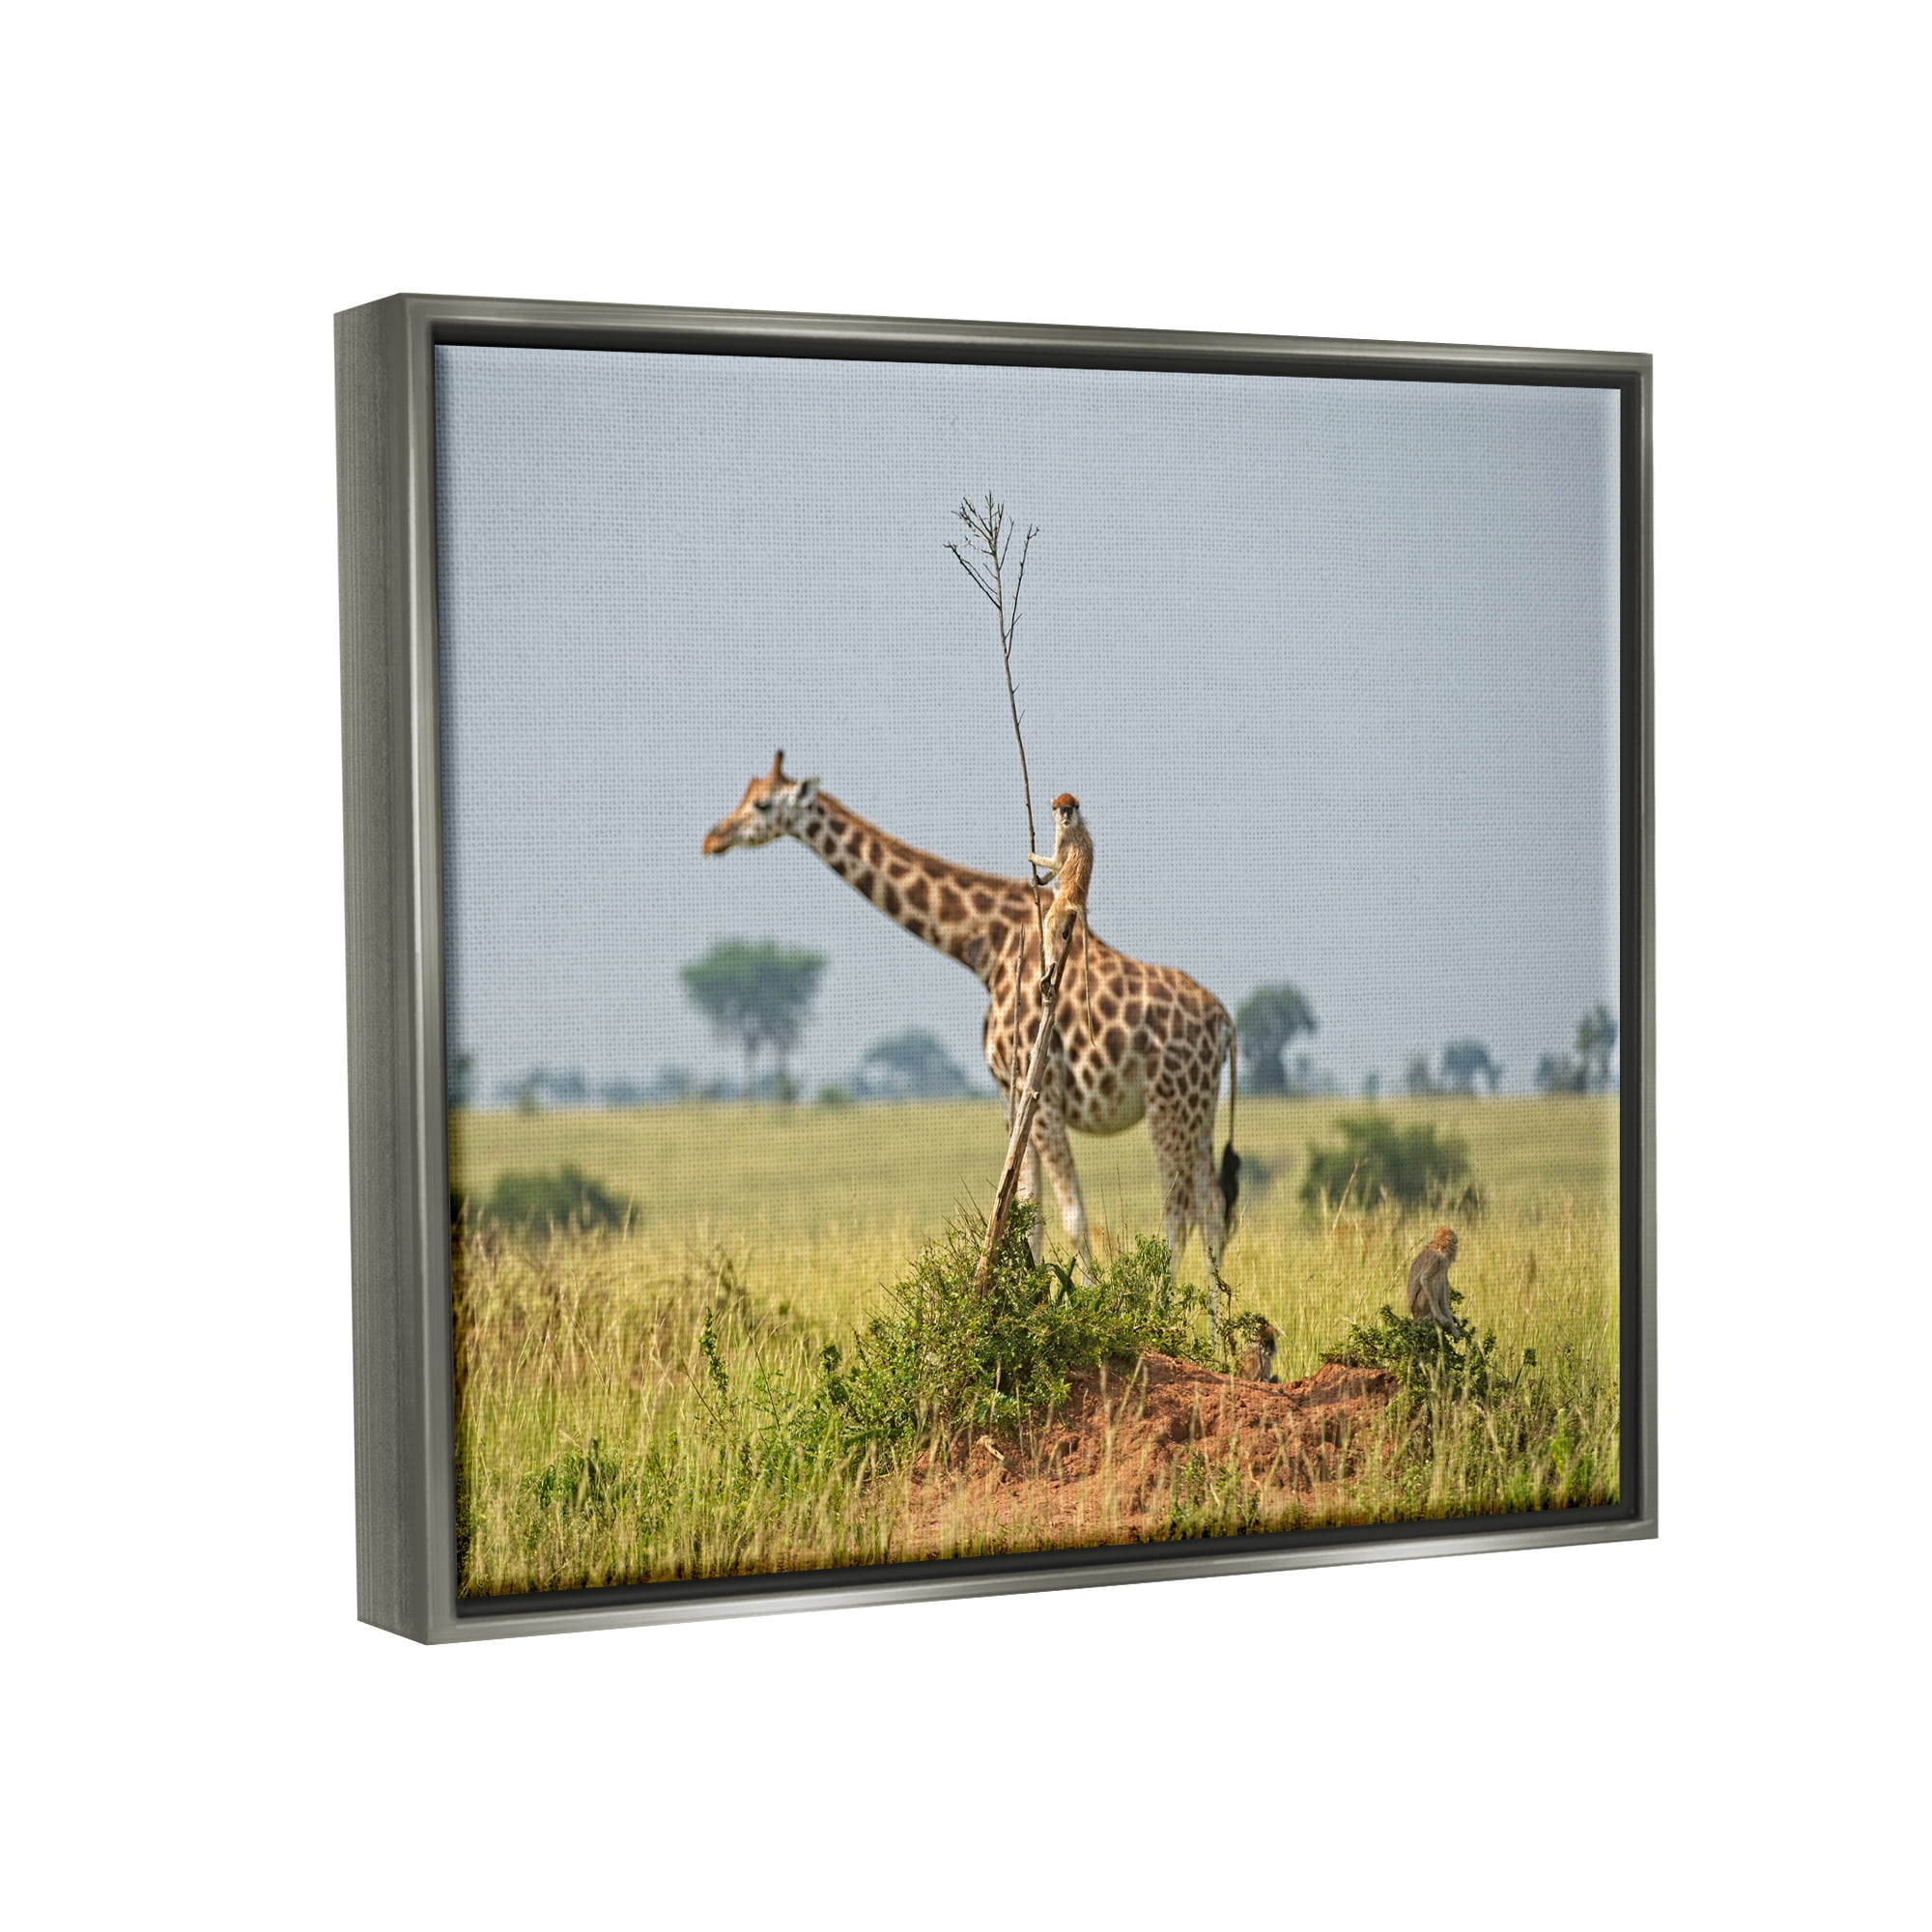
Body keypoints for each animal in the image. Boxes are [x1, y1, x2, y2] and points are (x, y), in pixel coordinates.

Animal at [701, 753, 1241, 1314]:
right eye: (746, 795)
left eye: (762, 804)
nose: (712, 839)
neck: (982, 945)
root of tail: (1224, 1021)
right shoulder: (1011, 1096)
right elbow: (1026, 1216)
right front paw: (1032, 1300)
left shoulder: (1038, 1091)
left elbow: (1071, 1217)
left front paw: (1085, 1307)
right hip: (1198, 1108)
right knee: (1212, 1211)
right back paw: (1215, 1324)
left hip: (1166, 1104)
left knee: (1178, 1211)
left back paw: (1163, 1314)